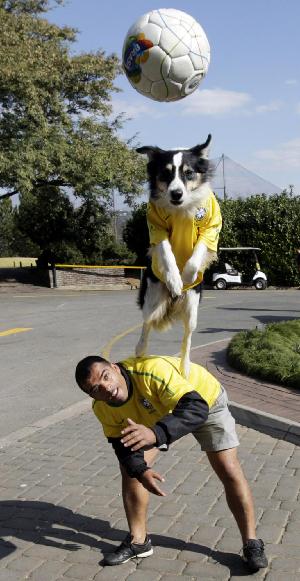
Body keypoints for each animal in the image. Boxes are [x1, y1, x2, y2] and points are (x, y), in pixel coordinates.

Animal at [135, 134, 221, 378]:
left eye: (189, 172)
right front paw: (175, 281)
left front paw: (186, 277)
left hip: (192, 307)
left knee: (187, 336)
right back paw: (140, 350)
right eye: (165, 173)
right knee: (146, 324)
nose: (176, 193)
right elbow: (166, 252)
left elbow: (197, 253)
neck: (182, 208)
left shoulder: (211, 227)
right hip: (152, 297)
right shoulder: (156, 226)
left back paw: (185, 368)